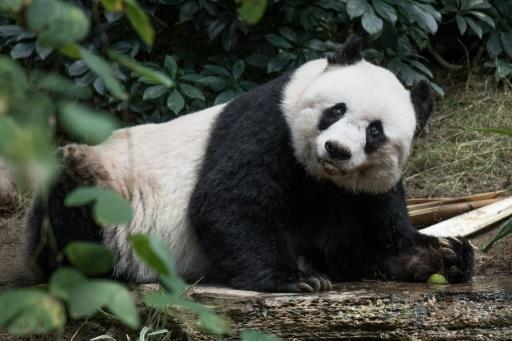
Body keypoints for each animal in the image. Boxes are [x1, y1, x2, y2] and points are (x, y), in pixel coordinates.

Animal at [27, 35, 476, 292]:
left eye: (375, 131)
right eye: (335, 110)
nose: (336, 150)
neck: (321, 177)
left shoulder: (360, 190)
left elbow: (364, 241)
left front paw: (446, 254)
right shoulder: (266, 126)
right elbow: (229, 202)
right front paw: (297, 279)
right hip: (108, 185)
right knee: (73, 201)